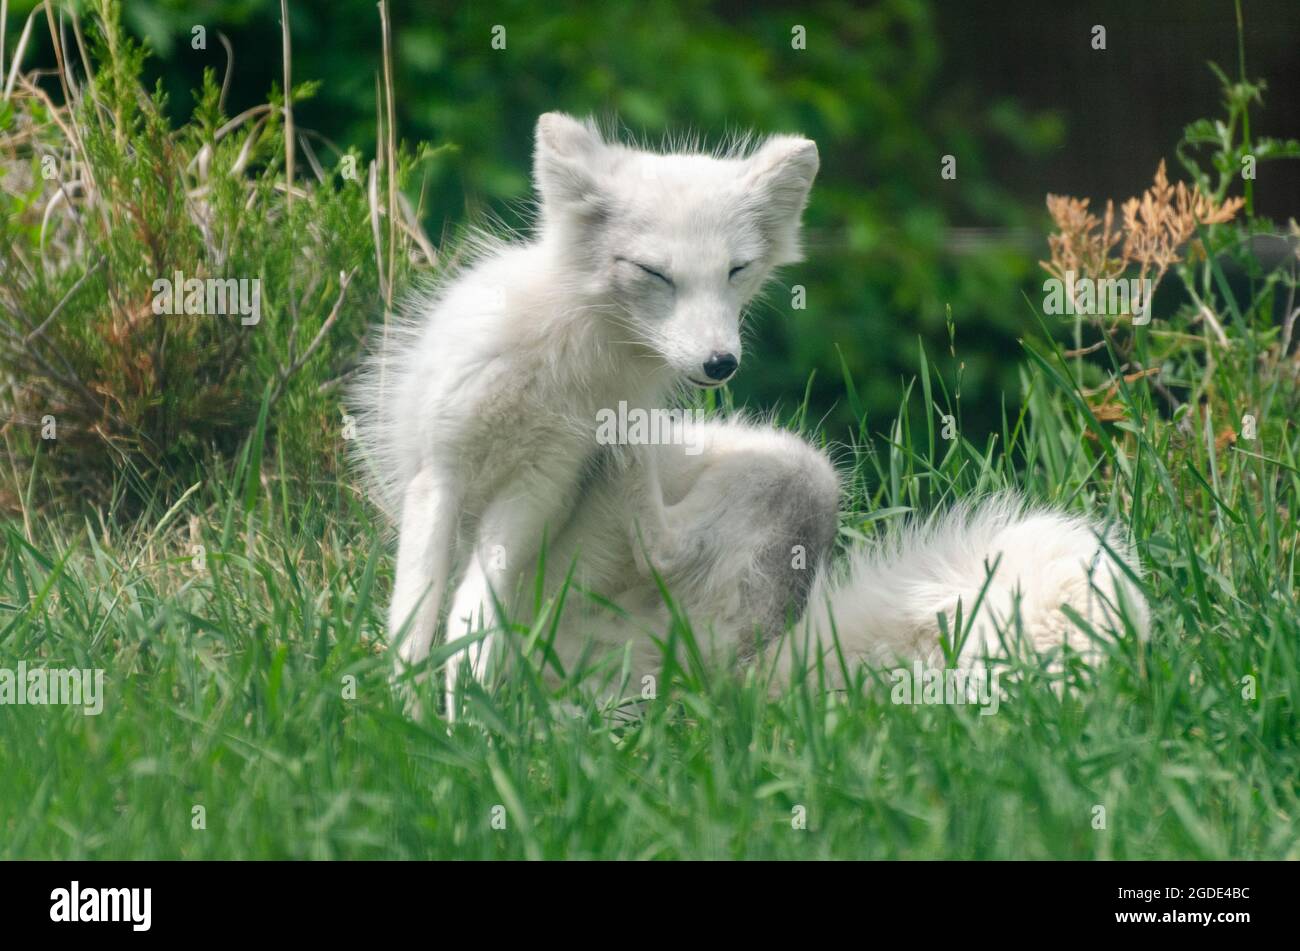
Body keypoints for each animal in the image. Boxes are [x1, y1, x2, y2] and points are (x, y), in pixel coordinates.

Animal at [350, 112, 1148, 715]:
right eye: (653, 273)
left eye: (736, 271)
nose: (718, 365)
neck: (566, 354)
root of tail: (736, 677)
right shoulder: (439, 476)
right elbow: (418, 616)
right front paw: (410, 715)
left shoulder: (534, 489)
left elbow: (471, 619)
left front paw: (459, 716)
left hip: (801, 468)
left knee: (663, 547)